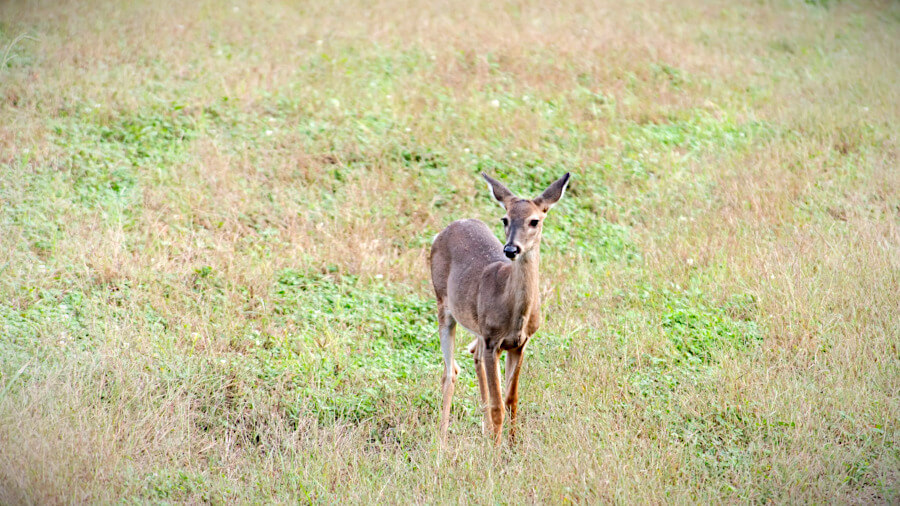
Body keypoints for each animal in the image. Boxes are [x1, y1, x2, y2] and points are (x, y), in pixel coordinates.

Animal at [428, 172, 568, 444]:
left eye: (534, 221)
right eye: (505, 218)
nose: (511, 249)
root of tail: (446, 230)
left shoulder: (519, 344)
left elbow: (511, 399)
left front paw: (512, 445)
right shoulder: (493, 340)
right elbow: (497, 405)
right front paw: (496, 449)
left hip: (478, 328)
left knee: (473, 355)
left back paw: (482, 431)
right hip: (443, 305)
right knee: (450, 372)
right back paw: (441, 441)